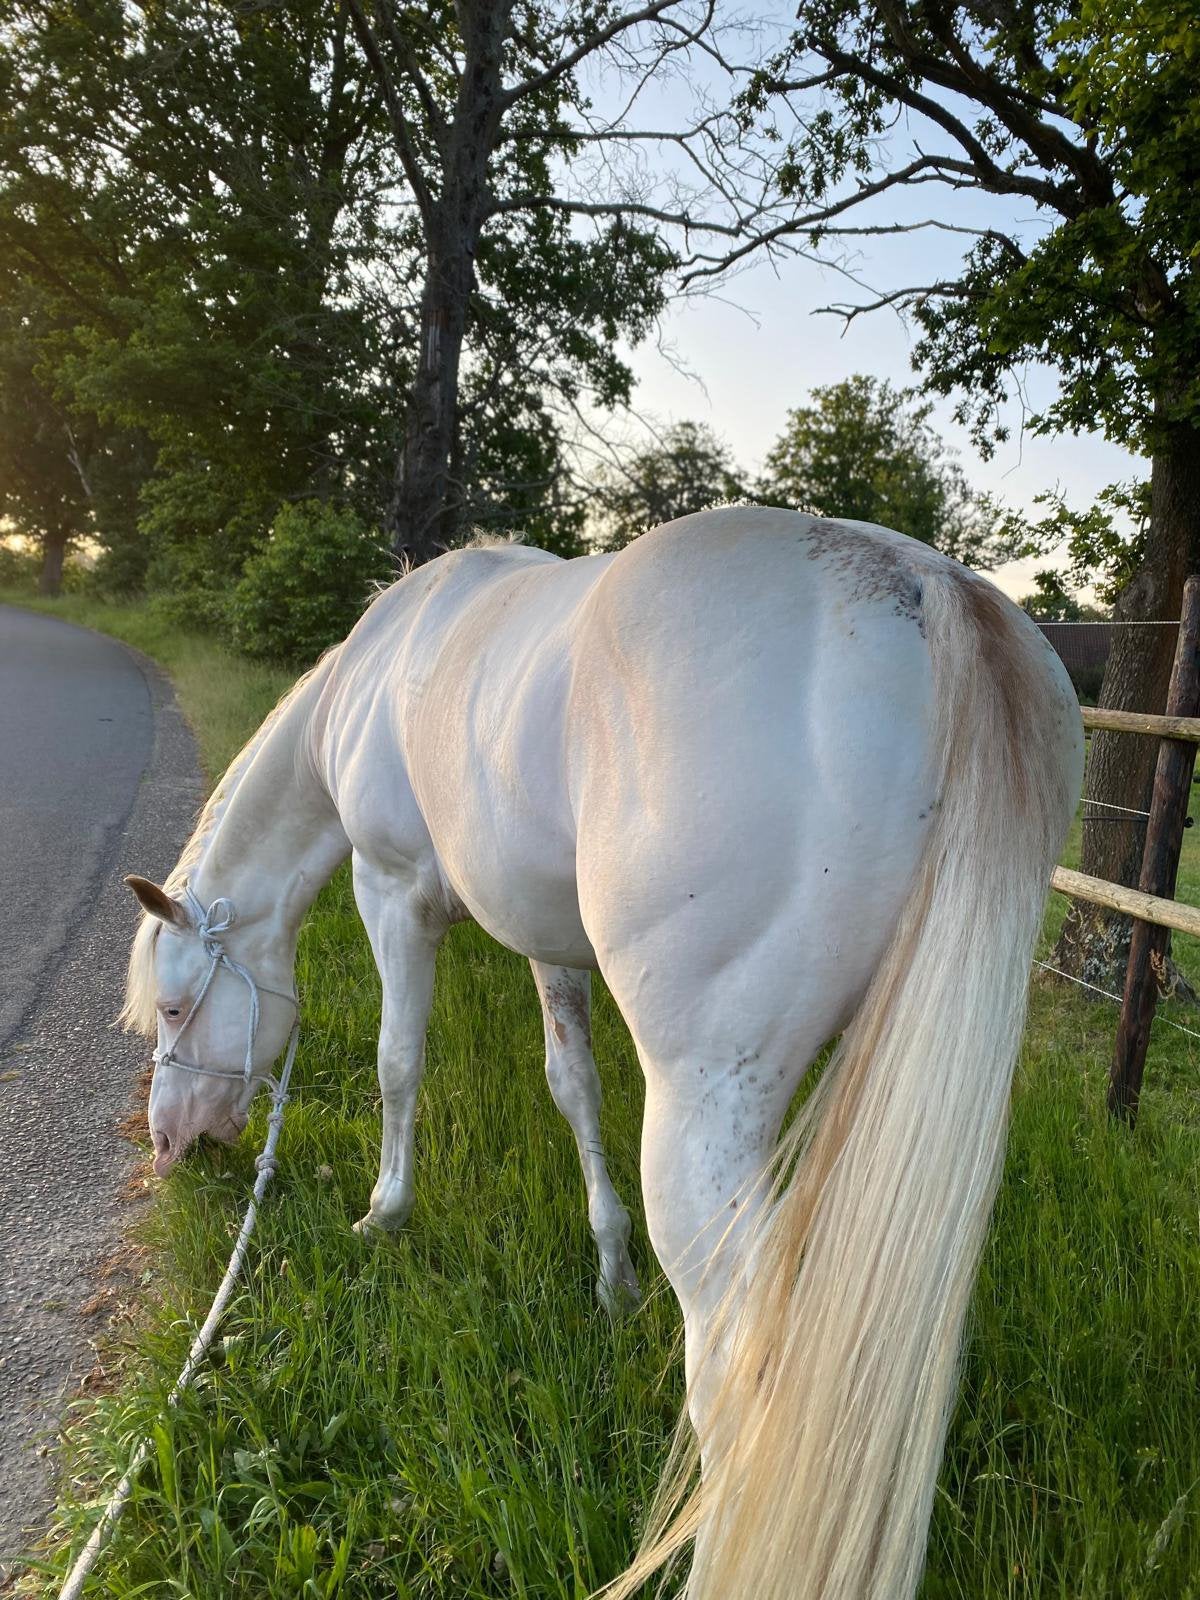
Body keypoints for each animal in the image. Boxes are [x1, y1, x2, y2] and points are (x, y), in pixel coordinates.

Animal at [121, 506, 1082, 1600]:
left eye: (175, 1007)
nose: (172, 1144)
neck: (373, 676)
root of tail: (925, 588)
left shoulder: (392, 892)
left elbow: (398, 1061)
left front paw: (384, 1212)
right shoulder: (546, 936)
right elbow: (572, 1085)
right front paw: (612, 1274)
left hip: (708, 1122)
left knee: (743, 1378)